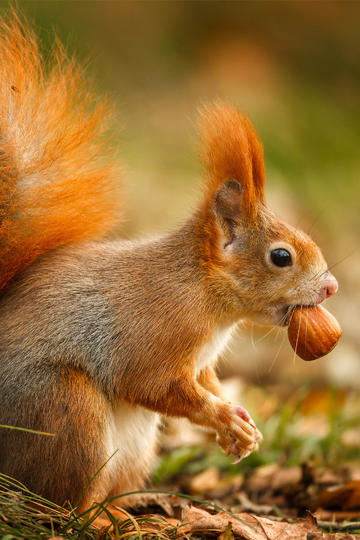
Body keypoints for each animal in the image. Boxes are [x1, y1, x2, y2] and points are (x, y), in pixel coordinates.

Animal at [0, 13, 338, 516]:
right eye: (281, 257)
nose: (332, 287)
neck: (202, 291)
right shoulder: (155, 331)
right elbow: (151, 383)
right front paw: (224, 417)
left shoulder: (200, 362)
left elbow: (206, 381)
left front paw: (241, 425)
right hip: (64, 411)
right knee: (59, 502)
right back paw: (101, 521)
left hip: (134, 444)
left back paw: (134, 507)